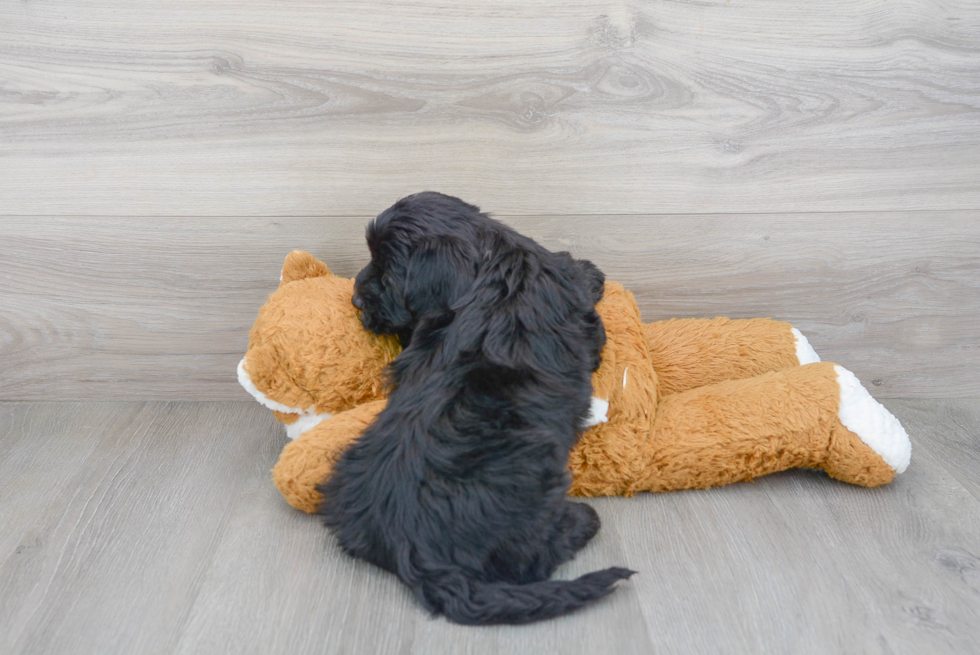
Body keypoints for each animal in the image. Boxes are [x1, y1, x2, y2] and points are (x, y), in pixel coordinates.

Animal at [318, 191, 632, 624]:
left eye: (390, 273)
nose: (355, 300)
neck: (490, 261)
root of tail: (407, 544)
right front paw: (589, 274)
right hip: (533, 479)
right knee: (531, 558)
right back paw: (582, 521)